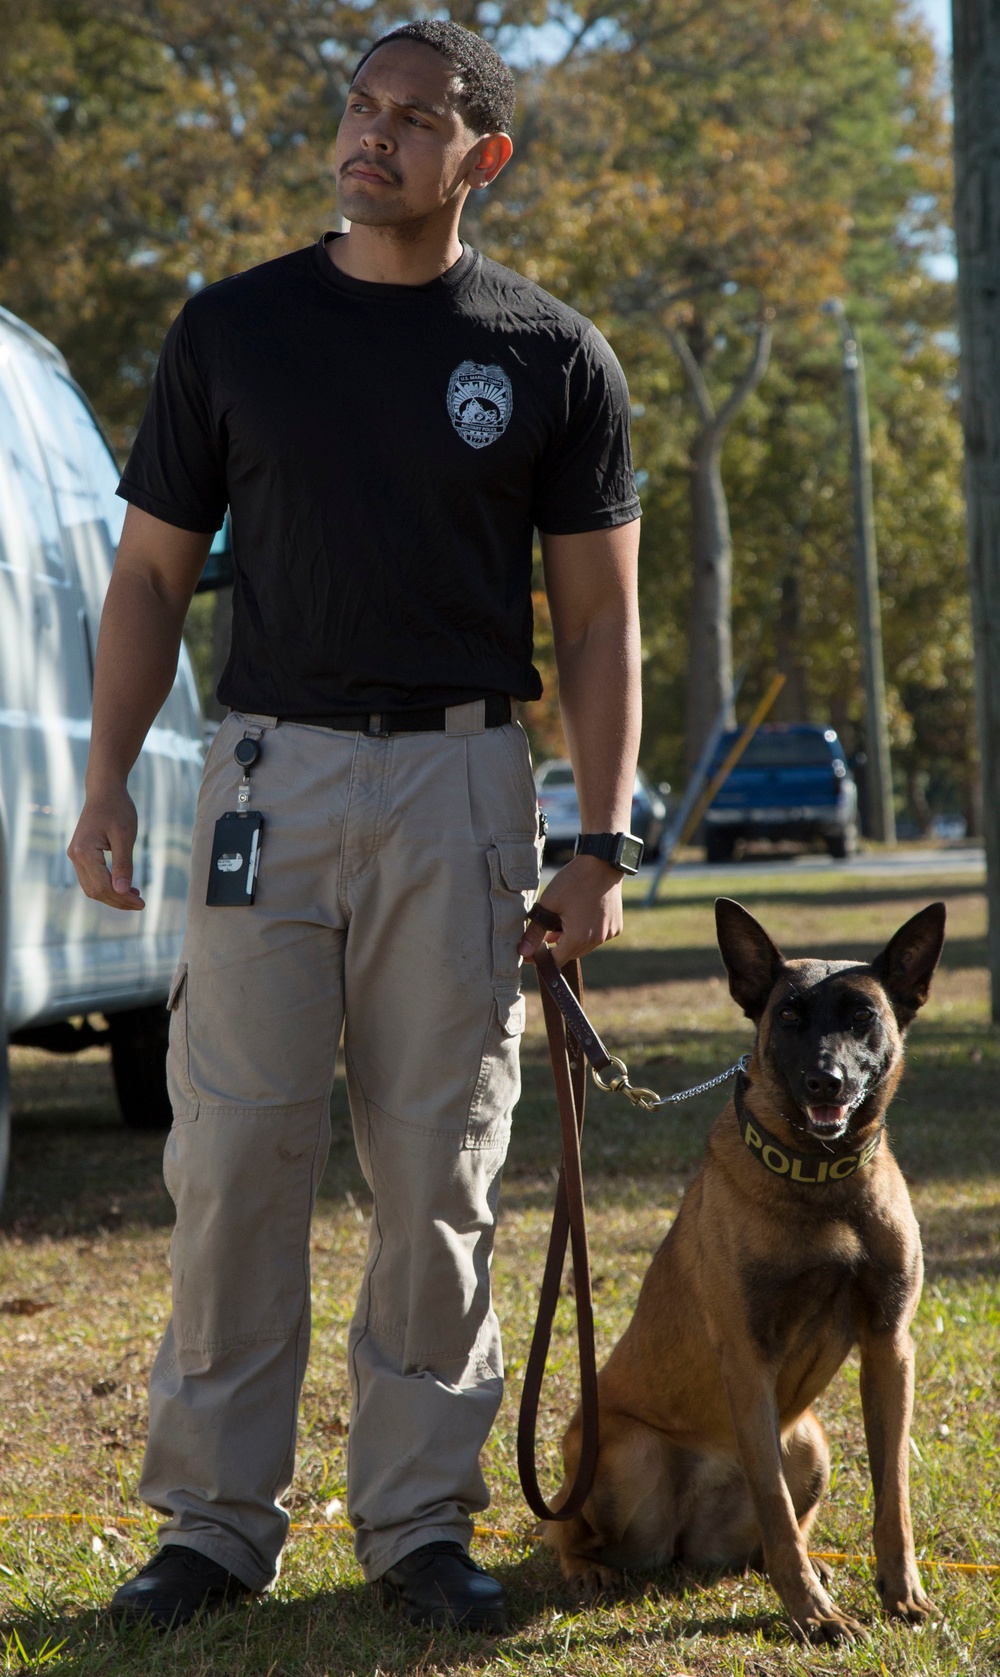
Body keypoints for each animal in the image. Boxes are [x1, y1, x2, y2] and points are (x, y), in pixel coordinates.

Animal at [546, 898, 946, 1643]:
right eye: (788, 1014)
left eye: (862, 1016)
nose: (826, 1080)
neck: (820, 1182)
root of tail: (682, 1542)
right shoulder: (747, 1356)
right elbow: (775, 1503)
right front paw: (814, 1616)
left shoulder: (890, 1347)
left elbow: (893, 1497)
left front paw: (901, 1594)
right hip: (625, 1454)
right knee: (563, 1527)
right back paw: (588, 1569)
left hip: (811, 1443)